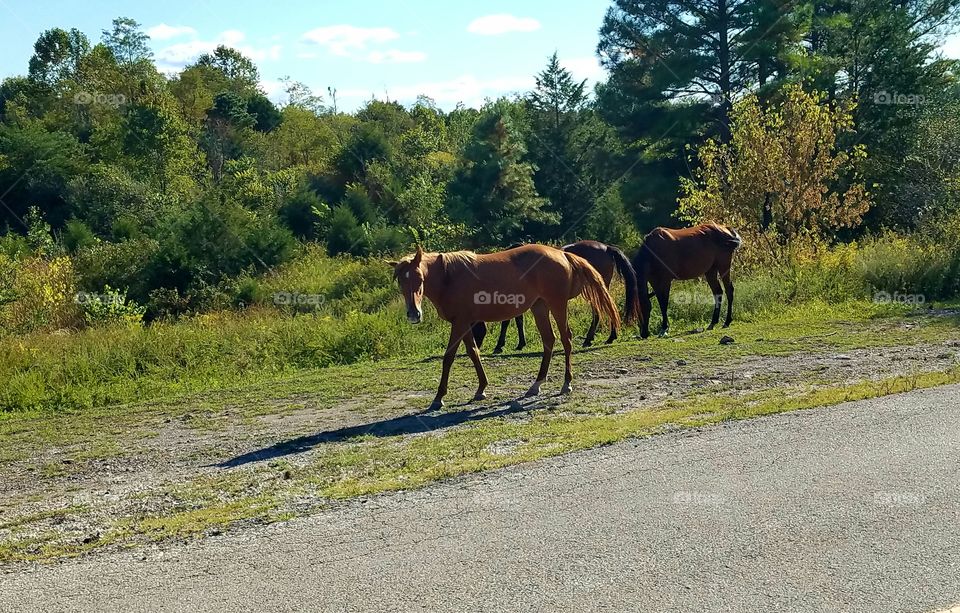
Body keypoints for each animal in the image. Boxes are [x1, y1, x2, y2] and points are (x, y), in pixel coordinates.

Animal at [389, 245, 621, 411]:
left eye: (420, 278)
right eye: (400, 281)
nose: (413, 314)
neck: (449, 277)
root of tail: (562, 254)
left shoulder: (460, 323)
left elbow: (449, 357)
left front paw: (439, 397)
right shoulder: (464, 323)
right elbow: (473, 353)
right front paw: (481, 389)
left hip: (557, 305)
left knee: (566, 339)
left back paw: (566, 384)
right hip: (540, 307)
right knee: (549, 340)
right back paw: (536, 385)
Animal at [472, 240, 640, 352]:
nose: (475, 348)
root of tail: (606, 248)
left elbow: (508, 321)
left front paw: (500, 345)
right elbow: (518, 321)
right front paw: (520, 343)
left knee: (600, 311)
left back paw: (595, 338)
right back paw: (606, 337)